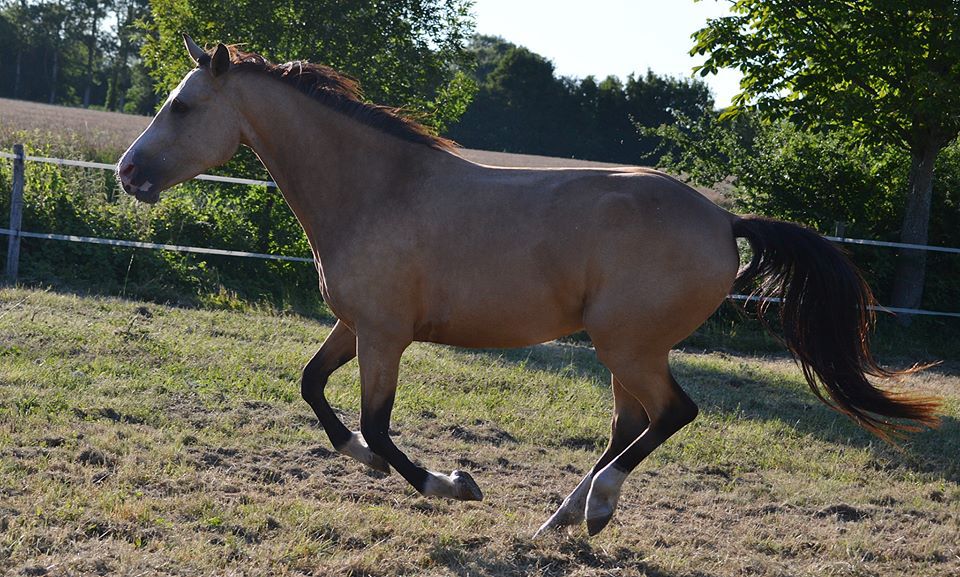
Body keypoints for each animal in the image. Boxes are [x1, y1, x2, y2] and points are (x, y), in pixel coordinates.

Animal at [117, 36, 940, 536]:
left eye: (183, 106)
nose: (128, 173)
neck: (377, 189)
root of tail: (724, 218)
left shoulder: (385, 335)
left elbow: (378, 424)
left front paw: (452, 483)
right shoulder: (354, 327)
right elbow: (314, 391)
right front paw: (368, 460)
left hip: (628, 345)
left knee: (671, 414)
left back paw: (594, 508)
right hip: (626, 351)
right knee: (630, 424)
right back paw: (567, 516)